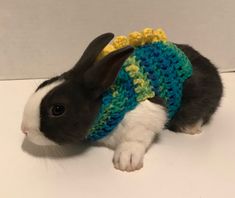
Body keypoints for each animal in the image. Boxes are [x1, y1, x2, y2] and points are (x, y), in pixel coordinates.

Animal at [21, 30, 223, 172]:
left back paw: (190, 127)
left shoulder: (148, 114)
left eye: (57, 109)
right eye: (43, 84)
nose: (24, 130)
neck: (106, 103)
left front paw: (126, 161)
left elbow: (136, 138)